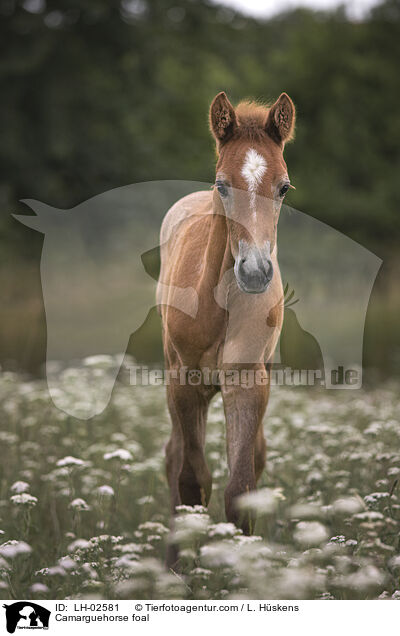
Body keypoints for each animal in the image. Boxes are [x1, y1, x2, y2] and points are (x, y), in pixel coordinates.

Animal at [158, 92, 296, 560]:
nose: (254, 271)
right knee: (174, 457)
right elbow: (190, 481)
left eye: (283, 187)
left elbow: (241, 490)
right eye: (222, 184)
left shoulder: (247, 382)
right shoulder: (184, 382)